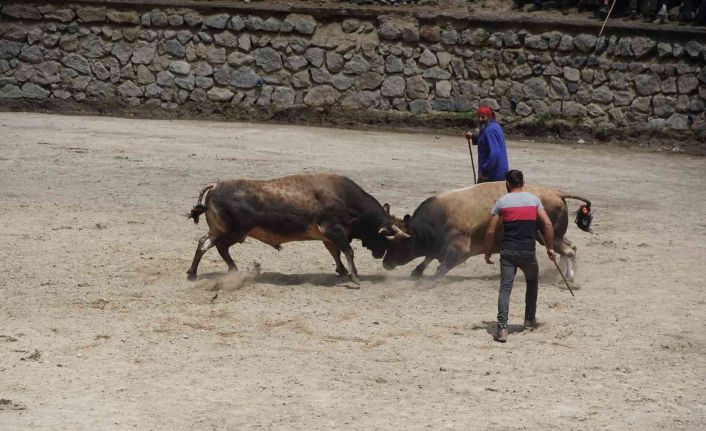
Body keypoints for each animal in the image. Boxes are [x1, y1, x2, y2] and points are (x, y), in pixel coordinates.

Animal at [184, 172, 402, 284]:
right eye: (385, 236)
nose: (380, 254)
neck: (346, 198)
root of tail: (216, 185)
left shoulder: (328, 235)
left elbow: (336, 252)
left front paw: (341, 270)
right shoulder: (333, 229)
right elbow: (347, 251)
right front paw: (354, 276)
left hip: (219, 230)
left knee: (204, 243)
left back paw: (193, 273)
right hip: (235, 232)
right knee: (219, 247)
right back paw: (234, 270)